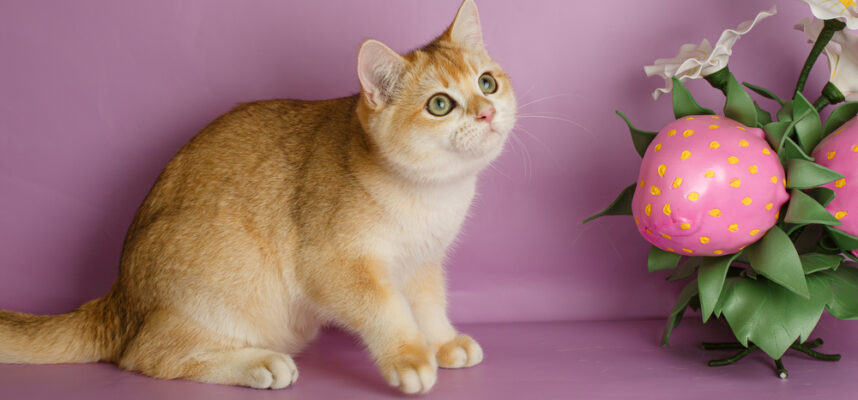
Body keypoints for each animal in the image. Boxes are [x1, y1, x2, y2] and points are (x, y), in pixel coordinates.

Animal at [0, 0, 516, 394]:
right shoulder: (334, 264)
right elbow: (386, 310)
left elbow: (429, 306)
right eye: (440, 104)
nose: (487, 112)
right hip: (229, 269)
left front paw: (443, 342)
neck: (432, 196)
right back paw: (258, 364)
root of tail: (116, 301)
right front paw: (410, 358)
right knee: (144, 355)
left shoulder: (423, 263)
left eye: (487, 82)